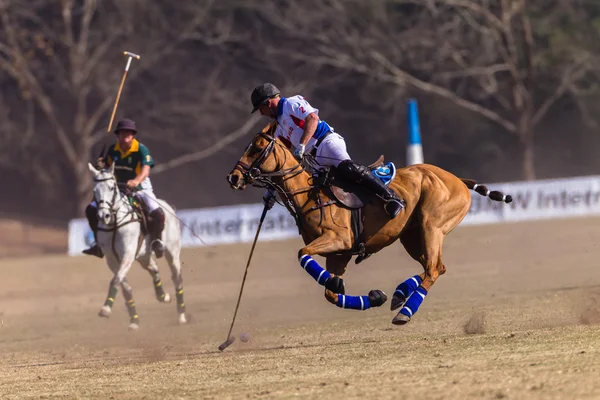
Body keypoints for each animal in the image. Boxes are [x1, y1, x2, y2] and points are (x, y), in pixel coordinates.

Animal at [88, 161, 186, 330]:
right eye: (95, 190)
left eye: (112, 187)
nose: (103, 216)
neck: (115, 222)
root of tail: (169, 207)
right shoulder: (111, 259)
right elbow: (124, 287)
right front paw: (134, 321)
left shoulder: (127, 254)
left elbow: (115, 280)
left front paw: (105, 309)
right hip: (144, 255)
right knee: (154, 268)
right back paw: (163, 296)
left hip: (172, 252)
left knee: (176, 278)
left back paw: (181, 315)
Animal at [227, 124, 512, 324]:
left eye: (257, 147)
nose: (233, 177)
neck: (308, 194)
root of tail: (458, 180)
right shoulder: (338, 255)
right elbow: (331, 293)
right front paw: (372, 296)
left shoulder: (339, 239)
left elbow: (302, 254)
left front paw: (341, 285)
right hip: (411, 236)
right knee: (436, 268)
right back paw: (399, 293)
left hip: (432, 227)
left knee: (432, 269)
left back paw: (404, 312)